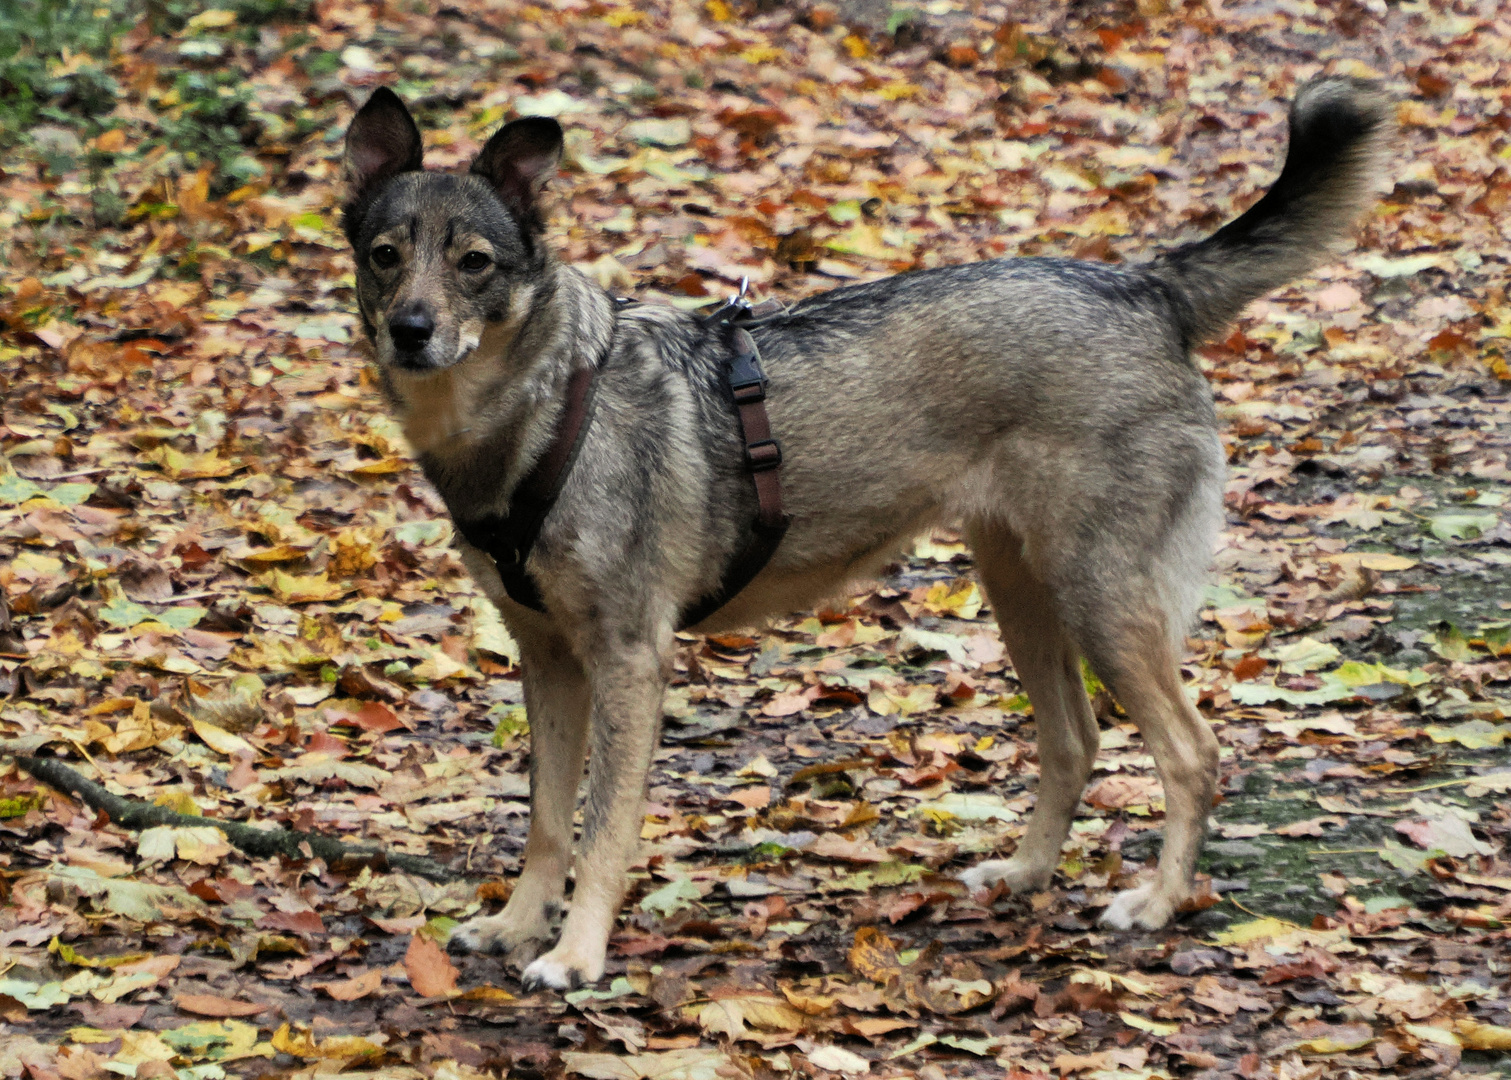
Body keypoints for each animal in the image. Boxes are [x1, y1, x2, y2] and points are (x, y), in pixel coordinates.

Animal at [339, 78, 1390, 990]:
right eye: (385, 255)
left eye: (474, 262)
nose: (411, 330)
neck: (545, 410)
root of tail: (1143, 287)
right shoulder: (547, 659)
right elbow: (546, 821)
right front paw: (518, 926)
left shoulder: (629, 659)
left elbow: (601, 831)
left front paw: (576, 955)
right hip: (1025, 598)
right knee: (1074, 742)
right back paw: (1022, 875)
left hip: (1101, 603)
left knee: (1191, 754)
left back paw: (1158, 903)